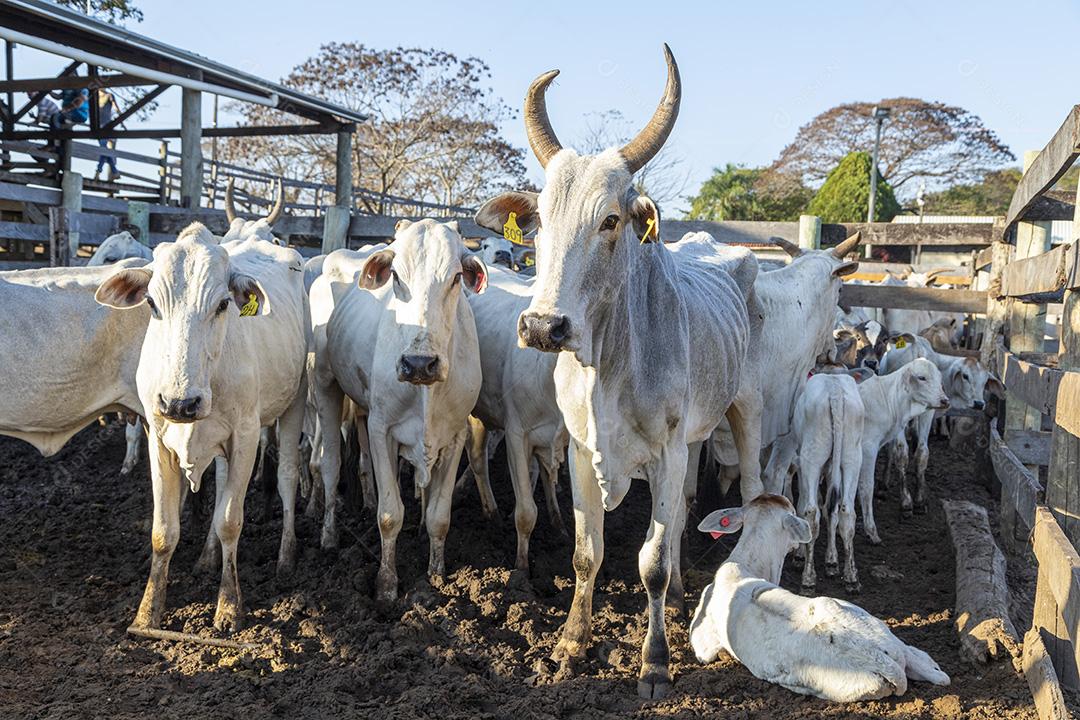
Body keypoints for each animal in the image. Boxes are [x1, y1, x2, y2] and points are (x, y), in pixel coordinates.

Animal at [95, 224, 308, 631]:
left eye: (223, 304)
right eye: (151, 304)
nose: (180, 403)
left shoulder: (246, 436)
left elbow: (230, 521)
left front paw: (228, 606)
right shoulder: (158, 438)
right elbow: (164, 530)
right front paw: (148, 612)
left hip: (294, 405)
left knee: (287, 477)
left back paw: (287, 558)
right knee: (222, 483)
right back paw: (207, 557)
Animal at [310, 219, 486, 602]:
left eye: (455, 277)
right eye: (396, 276)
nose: (419, 363)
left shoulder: (455, 435)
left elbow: (439, 516)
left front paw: (436, 573)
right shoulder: (382, 430)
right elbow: (390, 514)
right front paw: (386, 584)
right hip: (324, 384)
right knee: (329, 465)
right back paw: (328, 535)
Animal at [465, 264, 568, 572]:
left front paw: (559, 526)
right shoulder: (516, 435)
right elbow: (525, 512)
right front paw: (521, 567)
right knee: (477, 460)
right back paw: (492, 513)